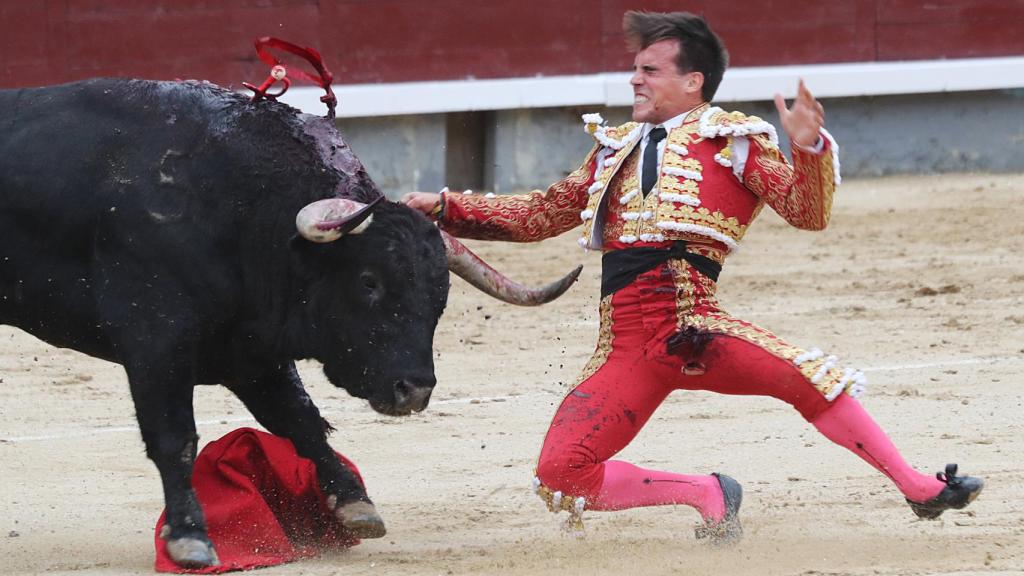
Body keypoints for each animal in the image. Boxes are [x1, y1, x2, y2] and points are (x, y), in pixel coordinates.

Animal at [0, 77, 577, 565]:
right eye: (369, 281)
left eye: (441, 295)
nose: (414, 390)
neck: (240, 208)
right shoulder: (156, 343)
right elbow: (176, 437)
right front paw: (189, 538)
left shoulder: (250, 351)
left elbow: (299, 419)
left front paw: (355, 503)